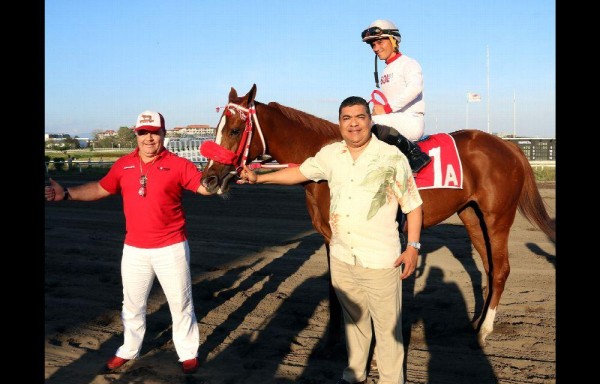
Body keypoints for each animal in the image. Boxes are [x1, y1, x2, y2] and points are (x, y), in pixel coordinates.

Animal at [202, 83, 556, 348]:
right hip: (471, 215)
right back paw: (477, 321)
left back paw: (484, 331)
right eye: (217, 129)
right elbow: (335, 287)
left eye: (235, 129)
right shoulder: (331, 238)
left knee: (501, 269)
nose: (208, 179)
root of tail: (509, 147)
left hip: (498, 217)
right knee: (489, 267)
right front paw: (334, 339)